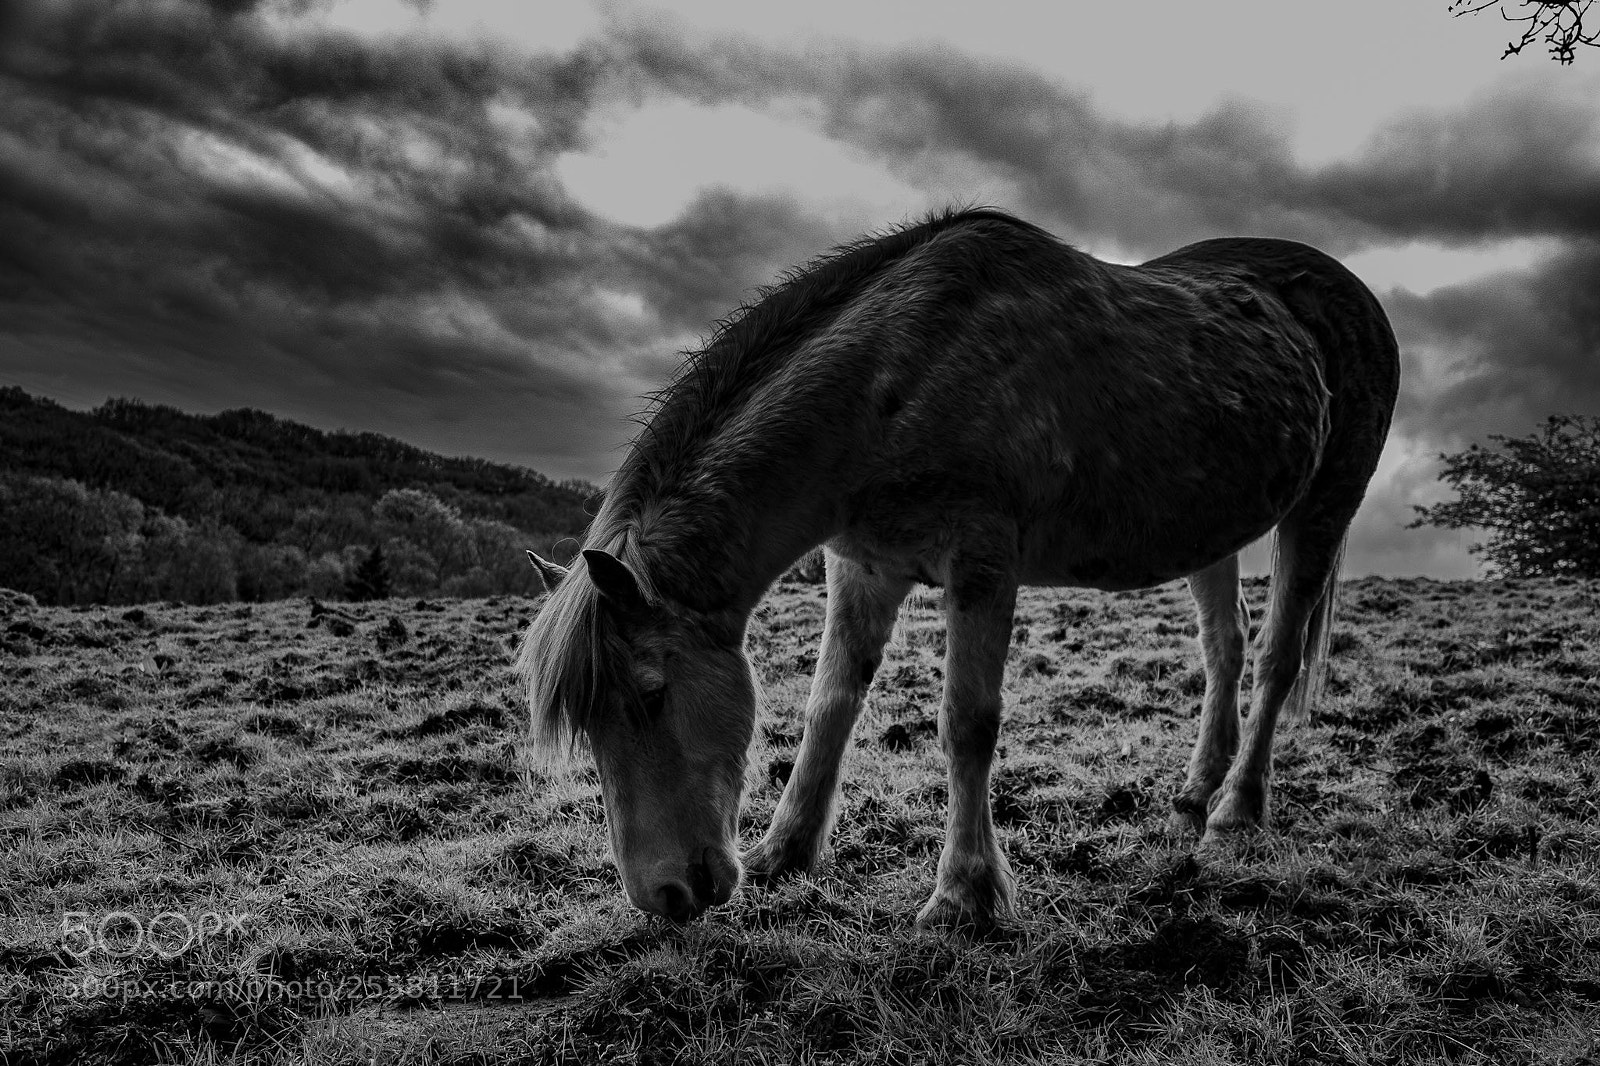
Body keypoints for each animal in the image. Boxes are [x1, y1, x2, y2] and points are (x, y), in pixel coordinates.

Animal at [519, 208, 1399, 929]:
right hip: (1208, 531)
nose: (664, 895)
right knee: (1225, 651)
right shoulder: (865, 568)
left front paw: (964, 894)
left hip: (1323, 507)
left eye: (651, 694)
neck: (899, 373)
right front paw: (785, 851)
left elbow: (967, 723)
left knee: (1279, 658)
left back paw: (1236, 811)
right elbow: (830, 704)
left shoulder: (982, 563)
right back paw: (1191, 799)